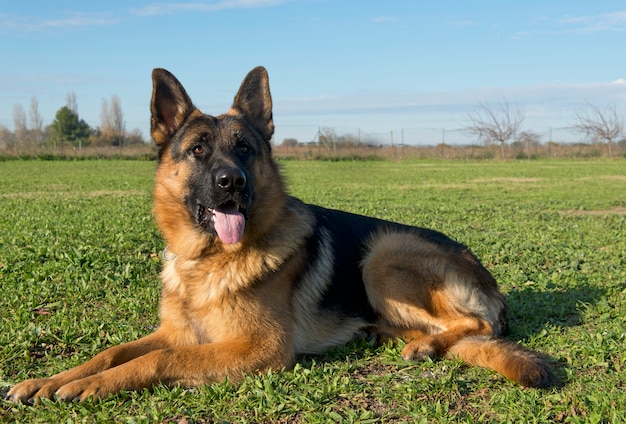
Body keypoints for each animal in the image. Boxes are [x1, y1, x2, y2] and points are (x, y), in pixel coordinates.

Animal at [7, 68, 548, 402]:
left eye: (244, 148)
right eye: (198, 149)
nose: (232, 182)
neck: (207, 262)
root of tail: (487, 279)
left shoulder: (255, 349)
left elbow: (161, 358)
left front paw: (92, 387)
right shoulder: (176, 330)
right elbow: (113, 352)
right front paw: (47, 381)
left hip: (382, 254)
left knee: (479, 325)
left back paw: (427, 346)